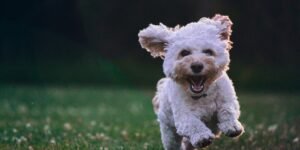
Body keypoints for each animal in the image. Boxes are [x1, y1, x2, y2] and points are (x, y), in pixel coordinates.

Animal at [138, 14, 244, 150]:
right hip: (169, 132)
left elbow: (227, 110)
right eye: (184, 53)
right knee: (173, 142)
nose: (197, 66)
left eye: (208, 51)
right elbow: (193, 123)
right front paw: (202, 137)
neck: (202, 95)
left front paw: (232, 126)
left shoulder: (227, 98)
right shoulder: (183, 116)